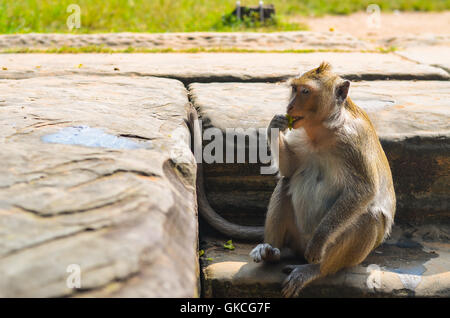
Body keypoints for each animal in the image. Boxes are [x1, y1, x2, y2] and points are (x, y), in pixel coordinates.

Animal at [248, 62, 396, 298]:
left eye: (305, 92)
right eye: (294, 89)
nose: (290, 106)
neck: (323, 129)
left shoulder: (353, 142)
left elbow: (363, 190)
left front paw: (319, 242)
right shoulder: (299, 133)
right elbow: (290, 168)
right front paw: (275, 124)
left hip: (339, 252)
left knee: (370, 217)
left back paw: (315, 269)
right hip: (296, 236)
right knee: (286, 182)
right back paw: (270, 250)